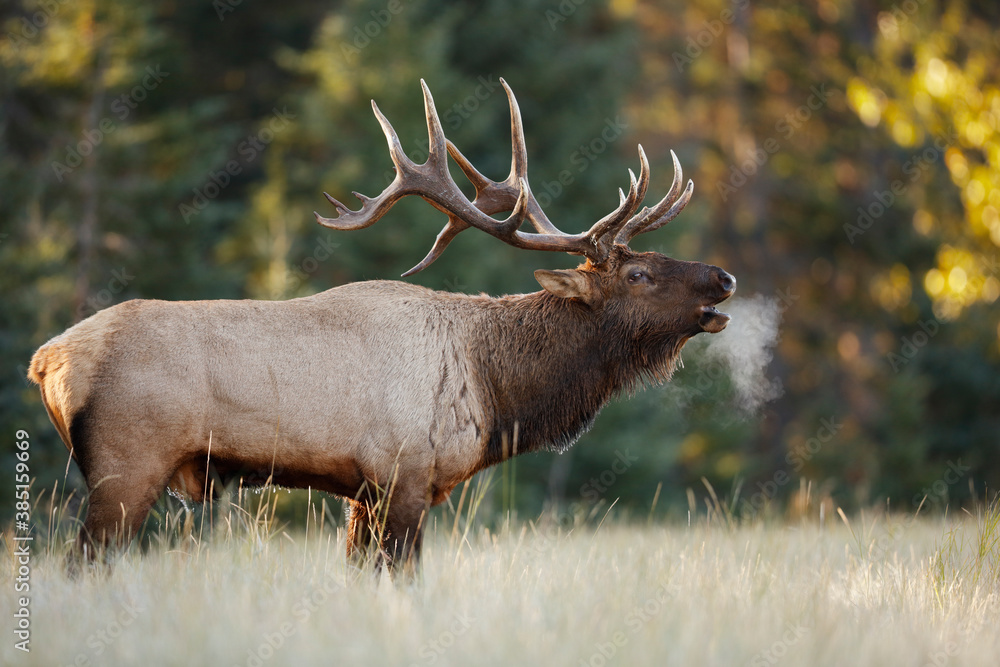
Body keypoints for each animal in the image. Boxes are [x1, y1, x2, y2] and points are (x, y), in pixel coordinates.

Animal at [29, 77, 736, 568]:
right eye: (638, 274)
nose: (724, 278)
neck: (494, 389)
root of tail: (46, 360)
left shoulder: (360, 491)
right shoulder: (404, 473)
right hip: (127, 467)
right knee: (83, 565)